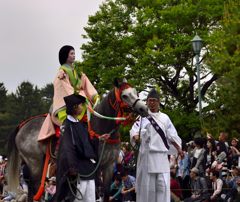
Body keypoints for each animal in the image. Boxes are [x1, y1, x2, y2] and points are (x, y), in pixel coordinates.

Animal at [7, 78, 146, 201]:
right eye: (124, 96)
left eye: (136, 92)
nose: (143, 109)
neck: (102, 128)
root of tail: (23, 125)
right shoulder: (95, 166)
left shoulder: (109, 165)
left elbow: (106, 193)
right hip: (34, 162)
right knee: (34, 189)